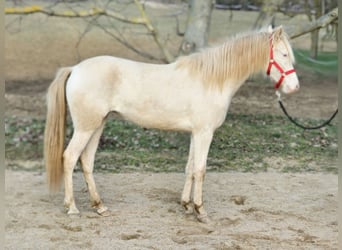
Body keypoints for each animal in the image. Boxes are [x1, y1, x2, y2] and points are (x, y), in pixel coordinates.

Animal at [44, 25, 298, 223]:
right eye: (284, 54)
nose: (294, 88)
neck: (212, 80)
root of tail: (75, 69)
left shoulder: (196, 133)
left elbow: (190, 168)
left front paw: (186, 205)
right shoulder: (205, 133)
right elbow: (200, 169)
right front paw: (200, 211)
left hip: (97, 125)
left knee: (86, 161)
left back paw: (99, 206)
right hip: (85, 128)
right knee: (69, 158)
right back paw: (72, 207)